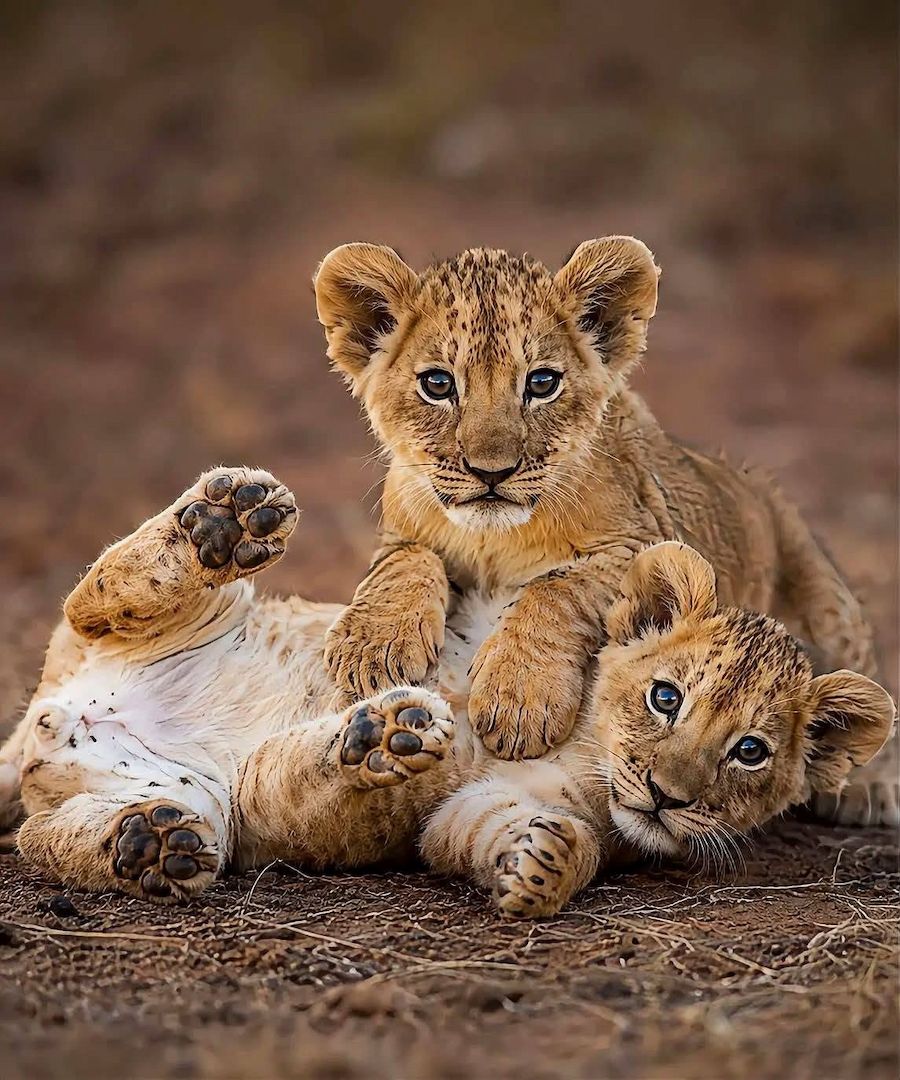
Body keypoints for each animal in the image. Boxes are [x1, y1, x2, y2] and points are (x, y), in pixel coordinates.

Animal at [0, 470, 892, 915]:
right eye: (666, 698)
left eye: (751, 752)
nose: (668, 796)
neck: (592, 745)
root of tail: (52, 714)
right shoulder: (493, 578)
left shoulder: (466, 811)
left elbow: (510, 833)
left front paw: (544, 866)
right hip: (155, 616)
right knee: (107, 588)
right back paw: (229, 521)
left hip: (213, 809)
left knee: (52, 842)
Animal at [313, 238, 898, 825]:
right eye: (437, 384)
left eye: (541, 383)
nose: (491, 472)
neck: (493, 540)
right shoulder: (400, 534)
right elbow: (407, 561)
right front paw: (372, 650)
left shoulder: (642, 544)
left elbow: (557, 588)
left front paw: (519, 700)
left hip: (828, 604)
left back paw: (864, 792)